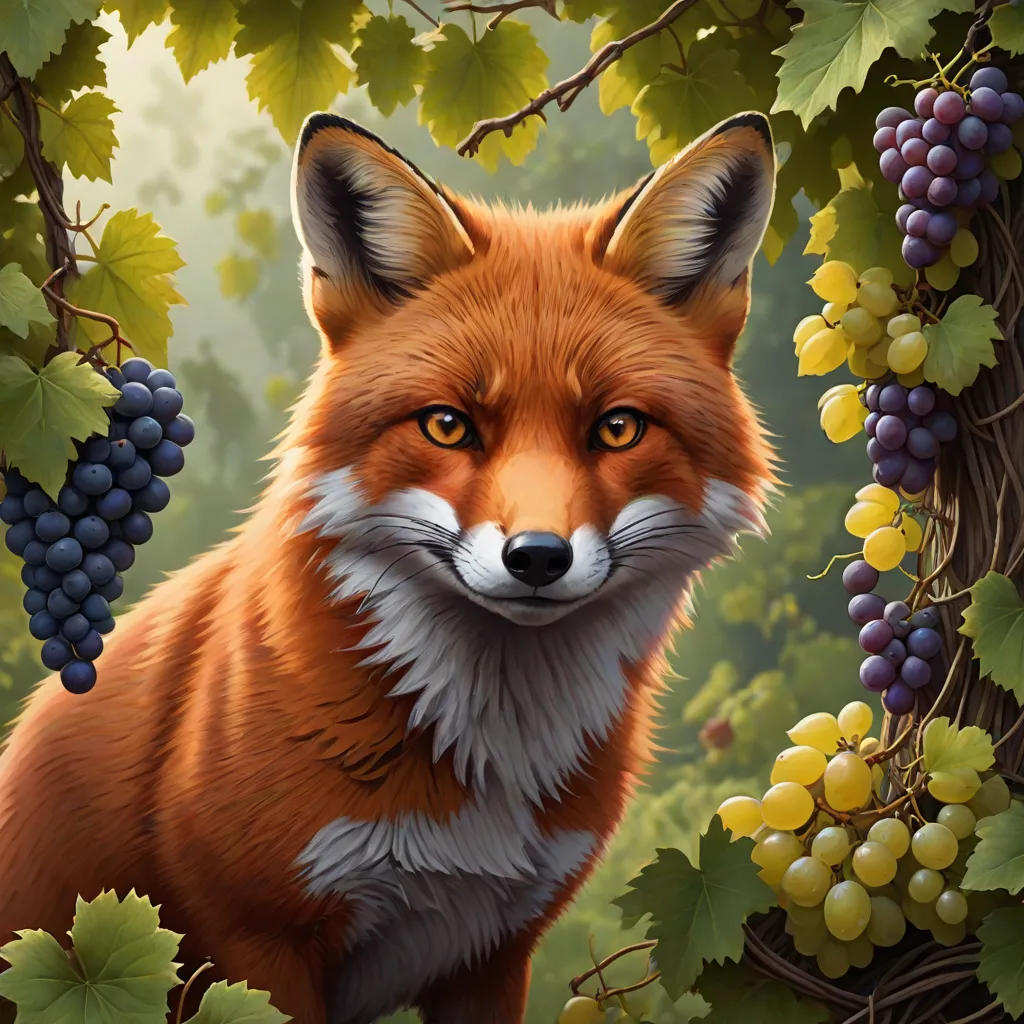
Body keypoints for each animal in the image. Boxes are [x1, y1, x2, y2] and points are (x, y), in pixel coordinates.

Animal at [0, 110, 777, 1023]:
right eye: (447, 425)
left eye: (617, 428)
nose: (537, 558)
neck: (486, 763)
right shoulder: (256, 940)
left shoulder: (493, 950)